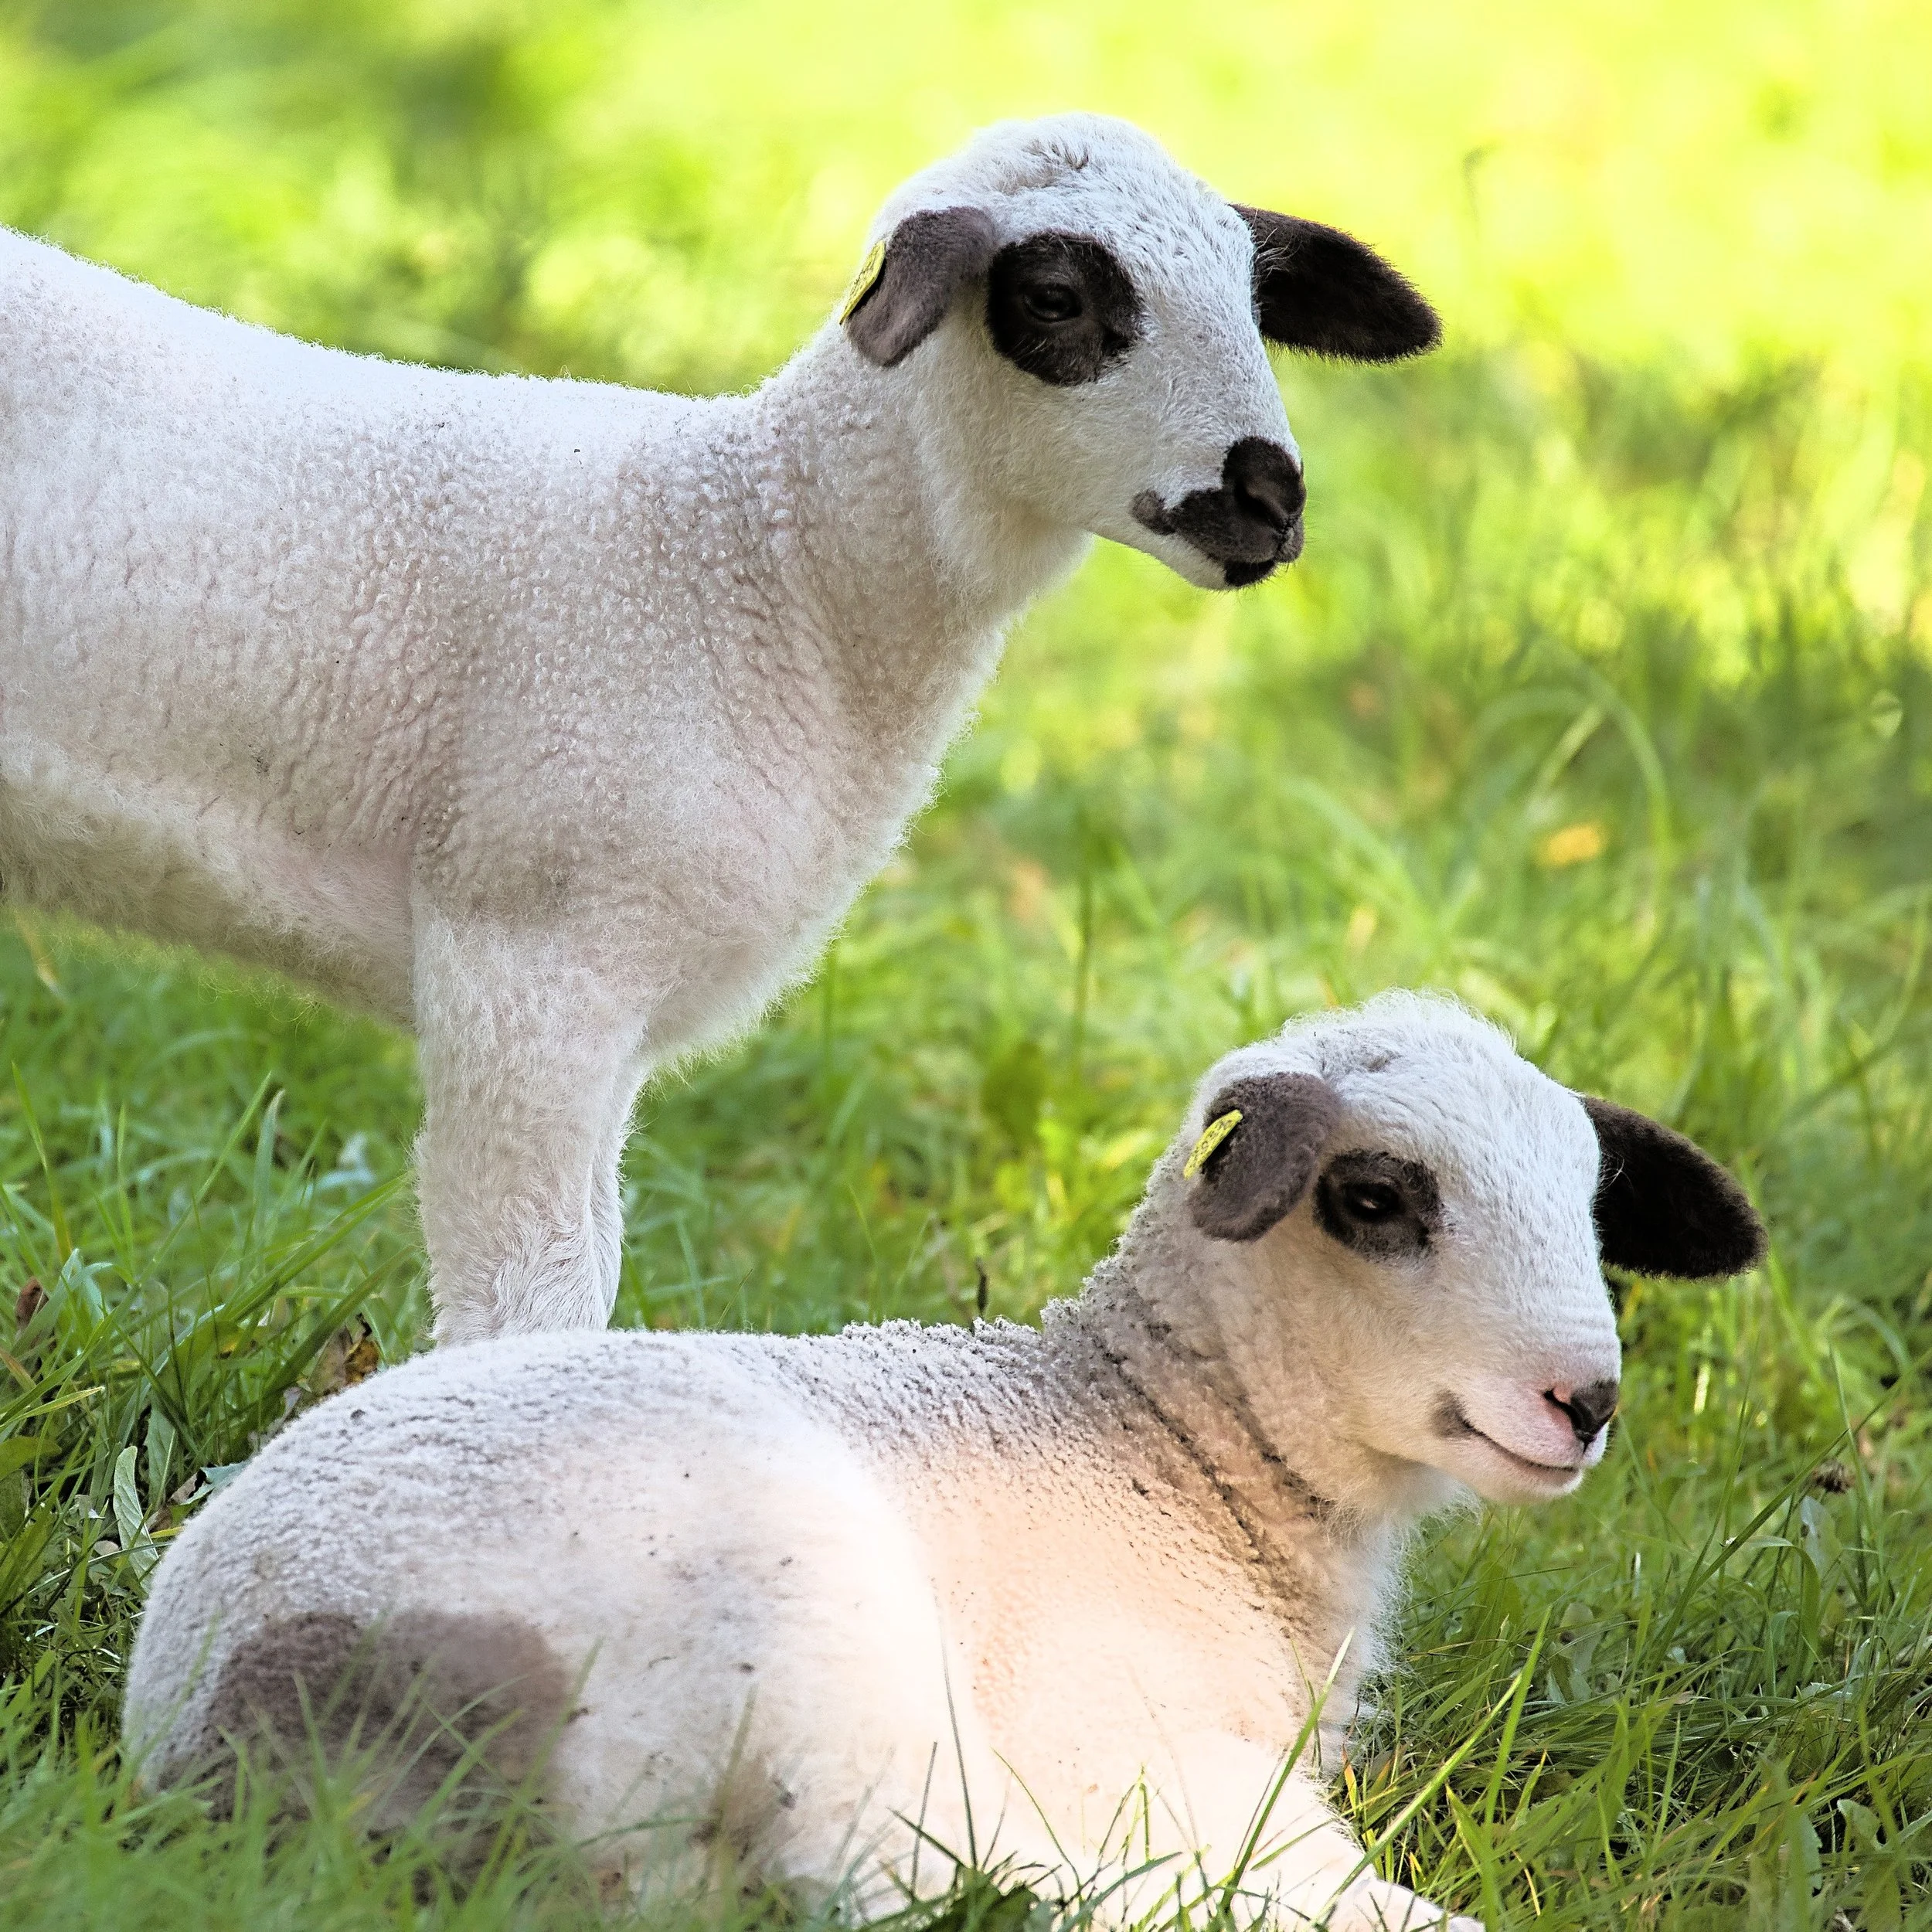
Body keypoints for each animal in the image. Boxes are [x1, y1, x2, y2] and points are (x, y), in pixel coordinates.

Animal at [0, 114, 1439, 1344]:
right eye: (1055, 299)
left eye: (1255, 299)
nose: (1271, 501)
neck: (763, 561)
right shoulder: (527, 964)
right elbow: (532, 1301)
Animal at [123, 993, 1764, 1928]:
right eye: (1374, 1199)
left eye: (1594, 1206)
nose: (1585, 1401)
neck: (1161, 1445)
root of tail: (267, 1719)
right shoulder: (1156, 1760)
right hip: (806, 1620)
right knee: (896, 1877)